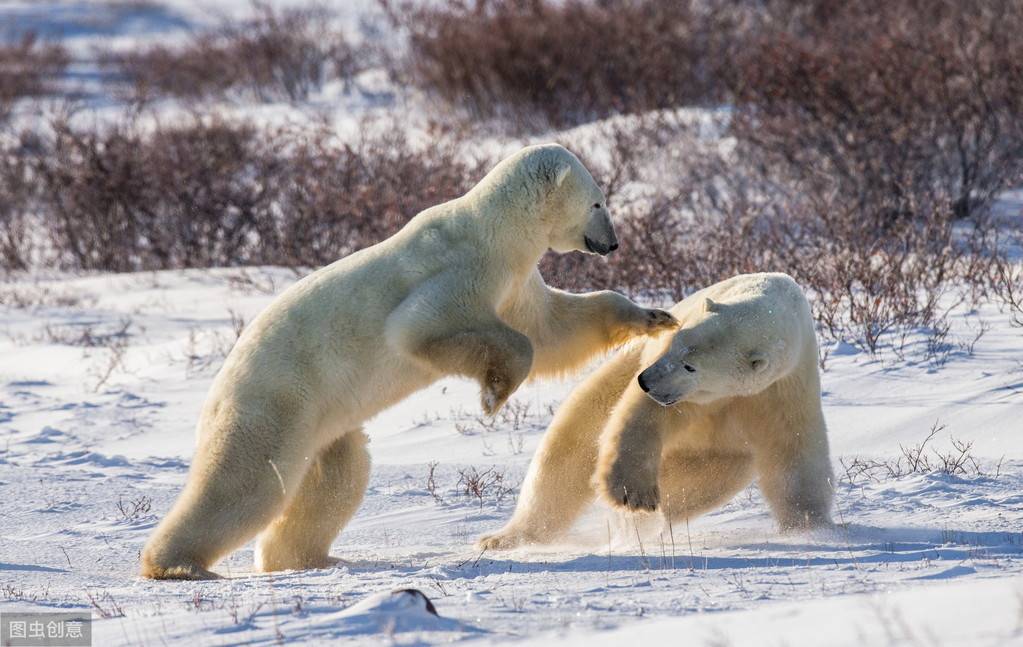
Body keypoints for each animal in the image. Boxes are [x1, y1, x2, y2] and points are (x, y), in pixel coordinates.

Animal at [138, 144, 679, 577]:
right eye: (598, 201)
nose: (612, 242)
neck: (495, 230)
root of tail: (221, 383)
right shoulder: (459, 271)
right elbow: (421, 327)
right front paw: (493, 394)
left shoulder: (514, 283)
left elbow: (552, 329)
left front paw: (655, 316)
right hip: (277, 401)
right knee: (246, 485)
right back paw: (175, 565)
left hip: (325, 426)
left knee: (338, 479)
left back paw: (311, 558)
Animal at [476, 272, 830, 552]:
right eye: (677, 340)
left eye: (691, 365)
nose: (646, 380)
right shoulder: (676, 384)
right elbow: (645, 415)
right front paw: (632, 494)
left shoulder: (780, 386)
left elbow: (793, 451)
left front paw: (810, 527)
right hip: (621, 369)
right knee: (570, 446)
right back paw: (506, 537)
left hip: (723, 459)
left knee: (698, 483)